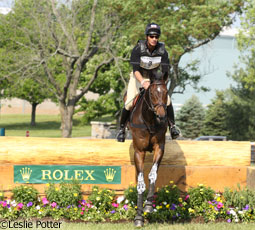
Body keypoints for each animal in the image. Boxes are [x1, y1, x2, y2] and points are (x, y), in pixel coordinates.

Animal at [128, 70, 168, 226]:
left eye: (166, 92)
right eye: (151, 93)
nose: (162, 116)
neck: (150, 120)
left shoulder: (159, 147)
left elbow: (152, 174)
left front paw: (149, 206)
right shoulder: (139, 152)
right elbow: (140, 183)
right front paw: (139, 218)